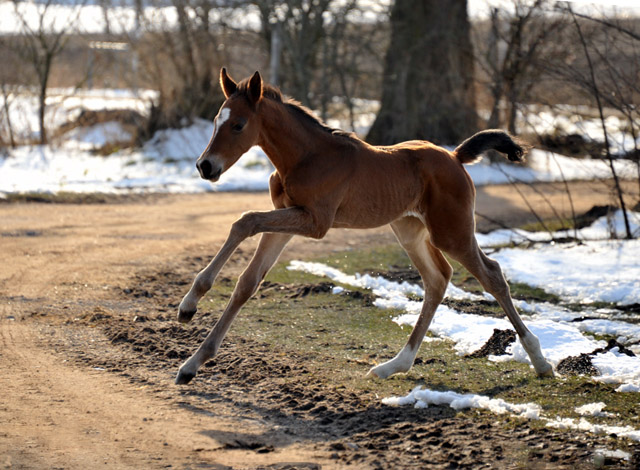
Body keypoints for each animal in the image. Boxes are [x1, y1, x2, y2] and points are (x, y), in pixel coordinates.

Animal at [172, 70, 552, 386]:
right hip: (409, 230)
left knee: (492, 275)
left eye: (238, 125)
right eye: (216, 121)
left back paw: (540, 360)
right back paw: (394, 365)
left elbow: (244, 220)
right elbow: (247, 282)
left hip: (451, 232)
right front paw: (191, 356)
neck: (306, 157)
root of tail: (455, 157)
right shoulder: (286, 218)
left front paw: (190, 307)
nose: (205, 166)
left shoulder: (315, 222)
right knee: (437, 278)